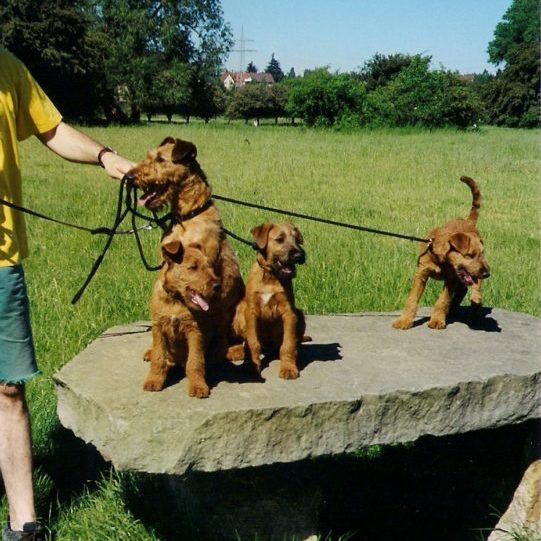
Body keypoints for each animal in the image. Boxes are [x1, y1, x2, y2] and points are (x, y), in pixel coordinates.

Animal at [142, 233, 223, 396]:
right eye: (193, 267)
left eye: (209, 266)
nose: (217, 285)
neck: (175, 300)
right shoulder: (158, 328)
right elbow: (158, 358)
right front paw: (153, 380)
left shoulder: (194, 331)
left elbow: (195, 362)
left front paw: (198, 386)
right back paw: (149, 352)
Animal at [229, 221, 310, 378]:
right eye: (279, 239)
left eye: (297, 240)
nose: (299, 255)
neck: (270, 277)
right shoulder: (251, 312)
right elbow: (252, 342)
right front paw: (251, 366)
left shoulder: (289, 313)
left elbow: (288, 344)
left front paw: (288, 367)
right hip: (240, 311)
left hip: (299, 314)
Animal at [392, 176, 490, 330]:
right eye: (470, 255)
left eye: (481, 254)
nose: (487, 274)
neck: (440, 258)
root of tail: (468, 222)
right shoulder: (421, 274)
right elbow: (412, 299)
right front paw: (404, 320)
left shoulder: (450, 279)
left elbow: (442, 300)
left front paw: (437, 320)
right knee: (462, 290)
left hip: (472, 275)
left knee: (474, 289)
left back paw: (475, 306)